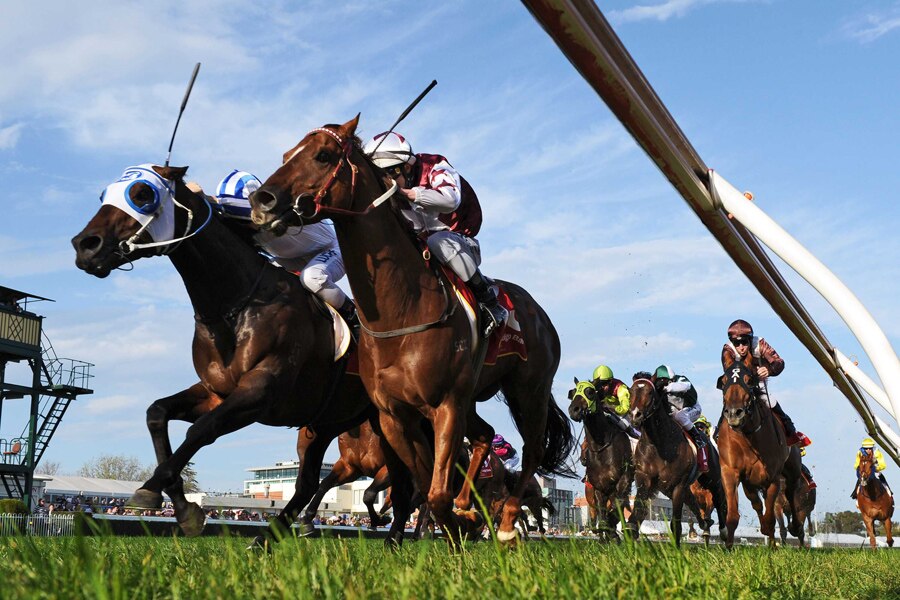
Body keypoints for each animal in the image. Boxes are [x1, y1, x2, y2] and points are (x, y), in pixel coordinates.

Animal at [70, 165, 414, 548]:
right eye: (104, 194)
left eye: (142, 194)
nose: (85, 245)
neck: (236, 306)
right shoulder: (216, 392)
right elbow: (157, 413)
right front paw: (180, 506)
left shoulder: (261, 392)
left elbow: (202, 430)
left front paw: (154, 489)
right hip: (325, 423)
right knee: (310, 481)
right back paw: (271, 535)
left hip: (386, 418)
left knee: (404, 479)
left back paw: (395, 537)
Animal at [246, 116, 572, 544]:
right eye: (286, 155)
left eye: (323, 155)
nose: (261, 200)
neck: (400, 312)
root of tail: (539, 312)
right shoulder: (395, 414)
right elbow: (423, 480)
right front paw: (456, 522)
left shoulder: (445, 404)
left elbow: (433, 491)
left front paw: (456, 527)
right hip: (474, 398)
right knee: (484, 436)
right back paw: (470, 507)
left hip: (527, 389)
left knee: (533, 450)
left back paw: (505, 523)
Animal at [568, 380, 632, 540]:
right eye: (573, 392)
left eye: (590, 392)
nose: (574, 410)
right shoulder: (598, 487)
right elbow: (601, 512)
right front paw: (604, 528)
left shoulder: (621, 480)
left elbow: (617, 506)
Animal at [624, 380, 732, 544]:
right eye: (630, 392)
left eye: (650, 392)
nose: (635, 415)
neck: (659, 443)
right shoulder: (645, 478)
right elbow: (637, 511)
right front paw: (630, 533)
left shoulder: (678, 485)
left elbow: (676, 523)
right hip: (669, 487)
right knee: (692, 502)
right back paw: (705, 523)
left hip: (711, 478)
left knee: (718, 496)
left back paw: (724, 531)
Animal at [716, 352, 808, 548]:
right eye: (724, 380)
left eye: (749, 380)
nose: (734, 413)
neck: (748, 437)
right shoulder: (730, 472)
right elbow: (733, 516)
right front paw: (728, 547)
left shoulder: (772, 479)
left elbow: (771, 517)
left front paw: (772, 544)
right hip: (750, 482)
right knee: (757, 503)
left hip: (792, 471)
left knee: (790, 493)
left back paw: (795, 528)